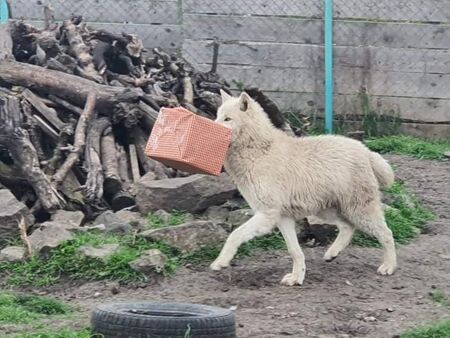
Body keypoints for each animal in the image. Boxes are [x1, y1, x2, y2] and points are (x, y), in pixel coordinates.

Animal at [212, 90, 398, 286]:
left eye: (227, 119)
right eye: (217, 116)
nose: (212, 127)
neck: (259, 150)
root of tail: (366, 151)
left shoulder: (267, 215)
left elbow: (234, 235)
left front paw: (220, 262)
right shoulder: (282, 218)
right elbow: (295, 251)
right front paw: (296, 278)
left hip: (358, 212)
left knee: (386, 233)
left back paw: (389, 266)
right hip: (328, 211)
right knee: (348, 227)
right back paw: (332, 254)